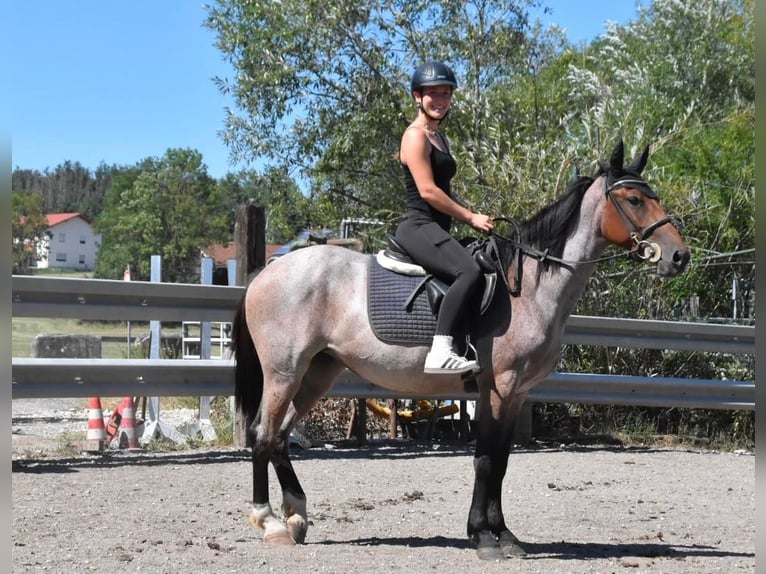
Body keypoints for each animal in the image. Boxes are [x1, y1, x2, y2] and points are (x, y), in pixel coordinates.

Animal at [230, 140, 690, 560]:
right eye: (634, 199)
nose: (679, 257)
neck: (530, 287)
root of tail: (268, 271)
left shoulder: (517, 393)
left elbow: (500, 460)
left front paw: (502, 535)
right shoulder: (499, 388)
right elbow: (486, 461)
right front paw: (485, 538)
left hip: (317, 373)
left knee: (281, 436)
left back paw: (297, 515)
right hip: (285, 372)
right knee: (263, 435)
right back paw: (270, 522)